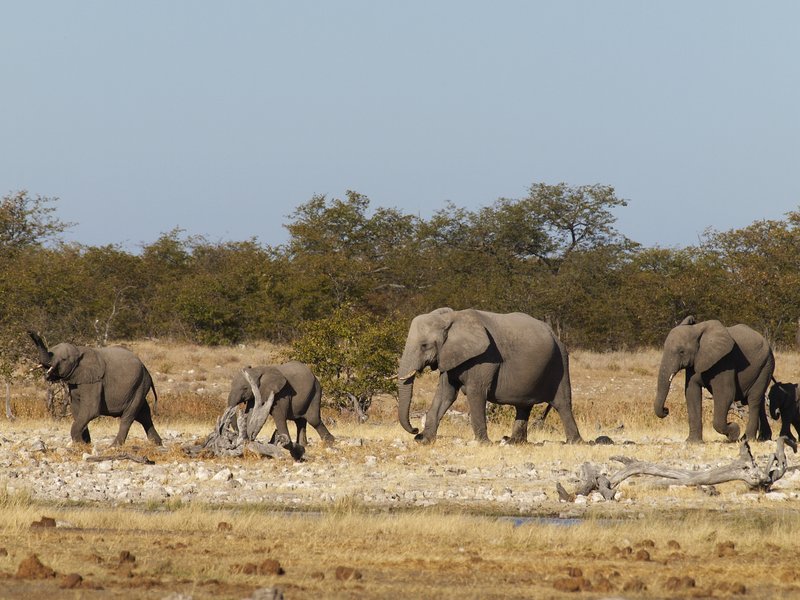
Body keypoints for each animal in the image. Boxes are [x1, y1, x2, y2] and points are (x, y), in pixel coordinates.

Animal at [29, 331, 162, 446]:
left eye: (64, 359)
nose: (30, 332)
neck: (79, 351)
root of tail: (146, 370)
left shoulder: (95, 381)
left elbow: (90, 410)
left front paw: (81, 444)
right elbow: (77, 410)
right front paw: (85, 444)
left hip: (139, 385)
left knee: (128, 417)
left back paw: (114, 446)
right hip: (139, 386)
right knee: (144, 415)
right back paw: (157, 443)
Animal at [397, 307, 582, 445]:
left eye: (424, 345)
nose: (415, 431)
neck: (452, 318)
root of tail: (555, 334)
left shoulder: (485, 357)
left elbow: (476, 392)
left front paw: (483, 443)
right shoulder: (449, 357)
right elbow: (446, 394)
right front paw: (424, 441)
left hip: (560, 361)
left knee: (562, 403)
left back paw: (574, 442)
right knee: (524, 406)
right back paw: (514, 442)